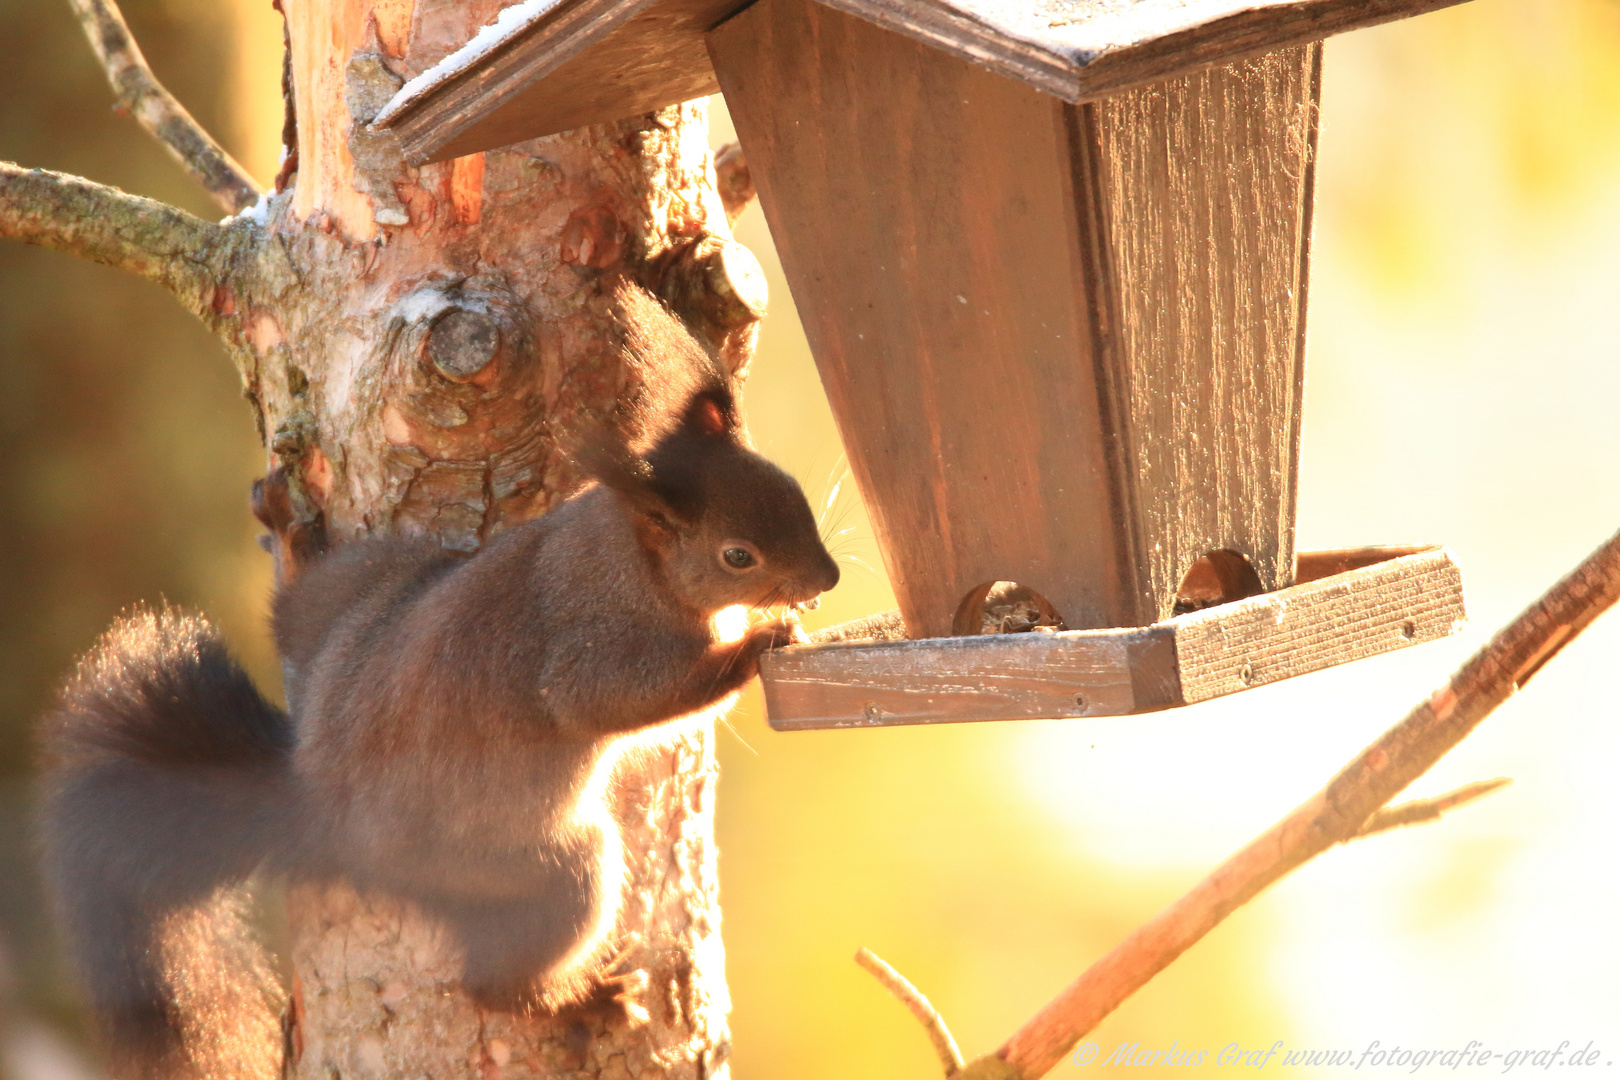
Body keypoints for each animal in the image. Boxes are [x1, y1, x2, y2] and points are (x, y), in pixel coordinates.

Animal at [36, 286, 842, 1080]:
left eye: (794, 493)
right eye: (738, 556)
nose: (827, 578)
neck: (630, 553)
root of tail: (320, 810)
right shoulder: (597, 646)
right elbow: (616, 698)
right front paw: (756, 643)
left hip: (369, 585)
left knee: (294, 616)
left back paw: (295, 541)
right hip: (535, 865)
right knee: (492, 981)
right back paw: (581, 999)